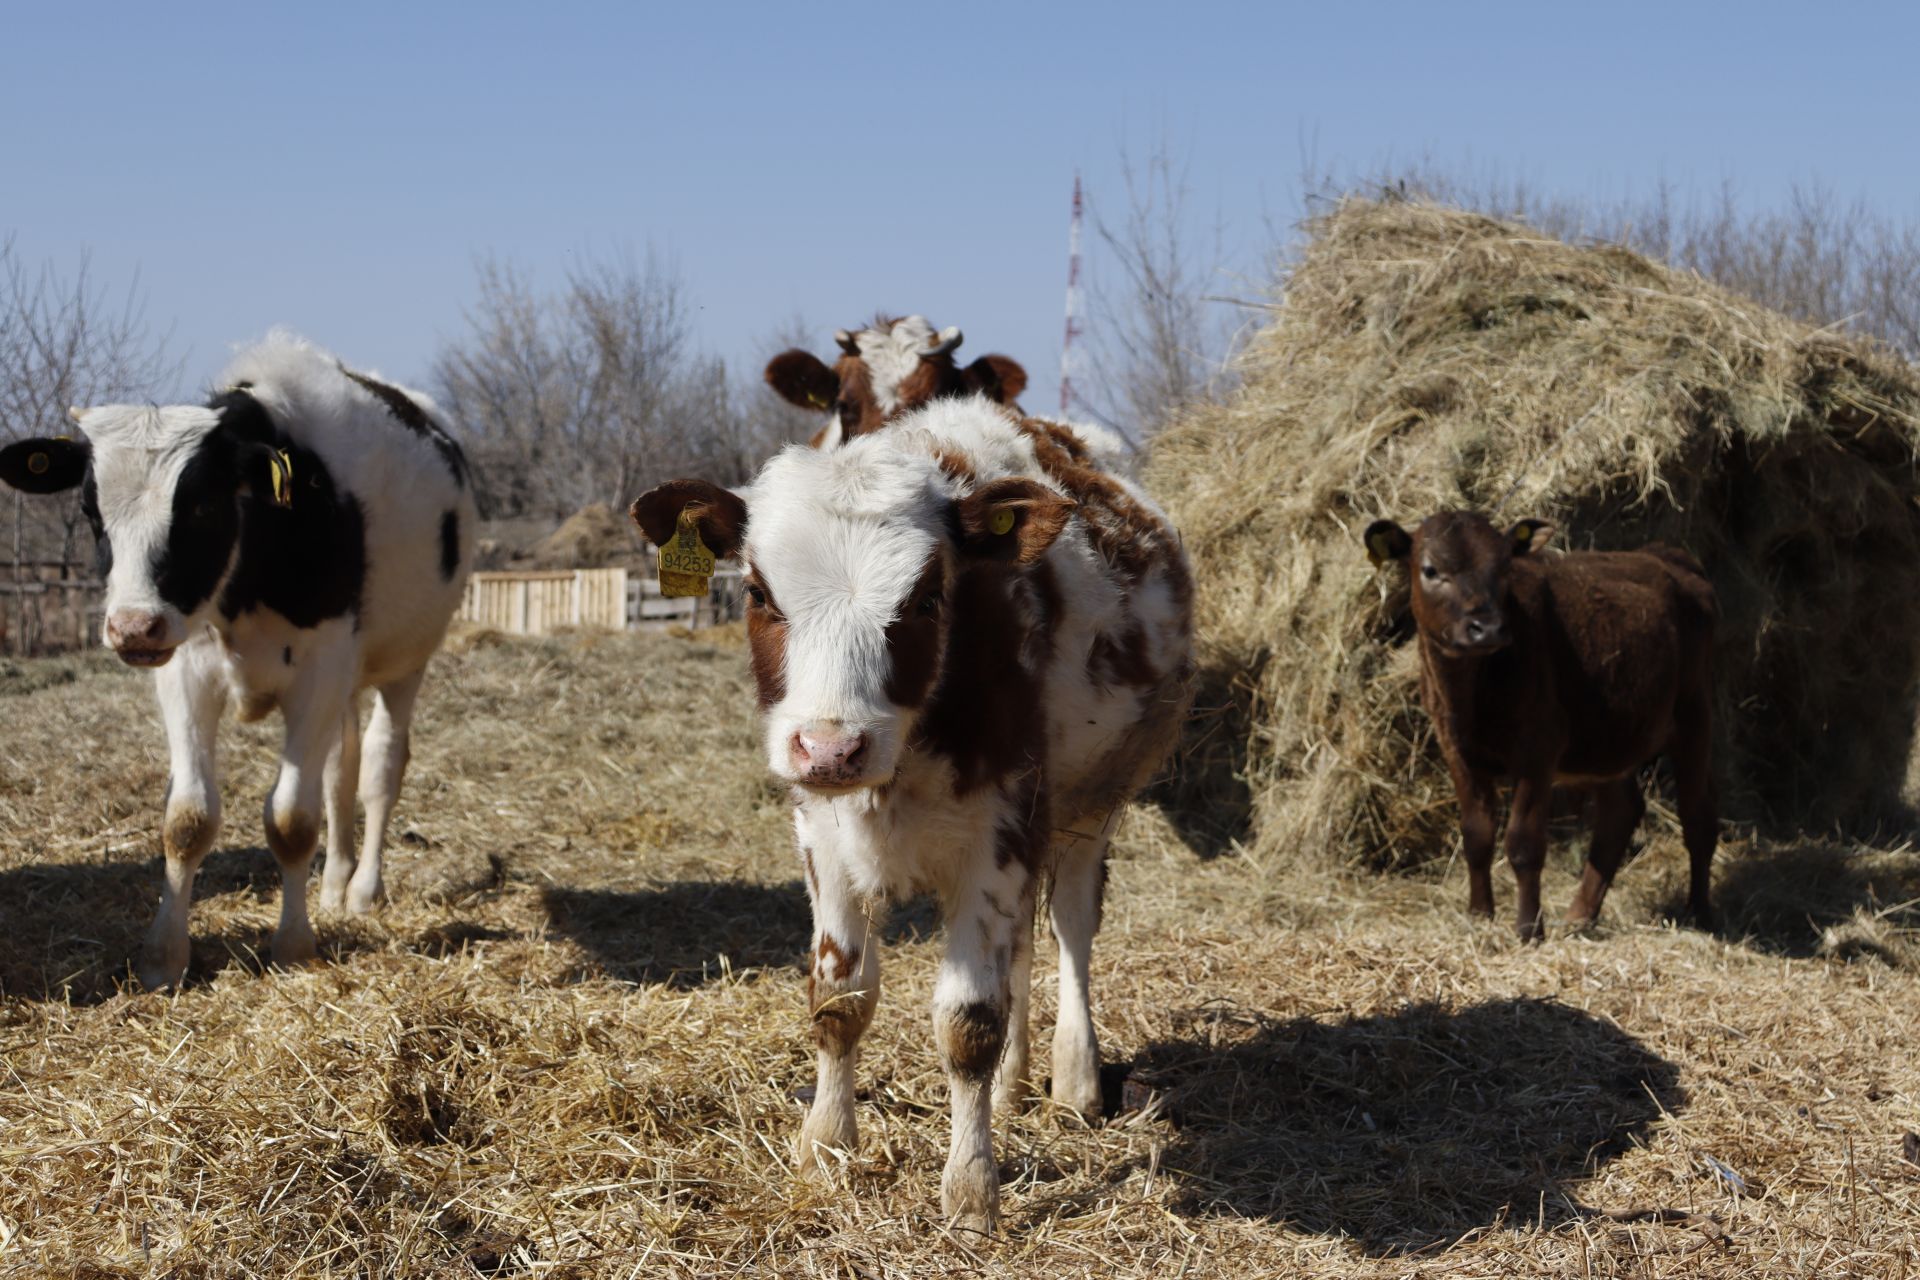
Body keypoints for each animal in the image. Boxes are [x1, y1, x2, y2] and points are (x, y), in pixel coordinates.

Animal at [0, 333, 476, 990]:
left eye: (202, 507)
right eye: (93, 514)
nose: (132, 627)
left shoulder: (320, 670)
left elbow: (292, 820)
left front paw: (294, 945)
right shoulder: (186, 670)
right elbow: (188, 818)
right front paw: (163, 957)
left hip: (404, 663)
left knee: (381, 769)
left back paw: (362, 890)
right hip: (344, 684)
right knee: (342, 767)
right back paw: (334, 884)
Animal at [637, 397, 1190, 1228]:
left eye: (928, 599)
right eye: (759, 594)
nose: (830, 748)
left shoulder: (999, 834)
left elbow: (969, 1022)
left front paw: (971, 1189)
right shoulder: (824, 839)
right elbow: (839, 1000)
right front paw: (827, 1146)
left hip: (1089, 811)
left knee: (1070, 932)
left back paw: (1075, 1079)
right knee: (1022, 951)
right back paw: (1014, 1085)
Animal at [1367, 510, 1728, 940]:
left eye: (1504, 566)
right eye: (1431, 569)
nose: (1487, 628)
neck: (1469, 695)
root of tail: (1669, 556)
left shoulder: (1537, 749)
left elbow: (1523, 844)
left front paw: (1528, 929)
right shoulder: (1457, 750)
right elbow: (1477, 836)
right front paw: (1480, 915)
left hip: (1694, 714)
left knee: (1698, 816)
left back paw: (1700, 914)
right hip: (1606, 740)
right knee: (1620, 812)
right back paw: (1580, 916)